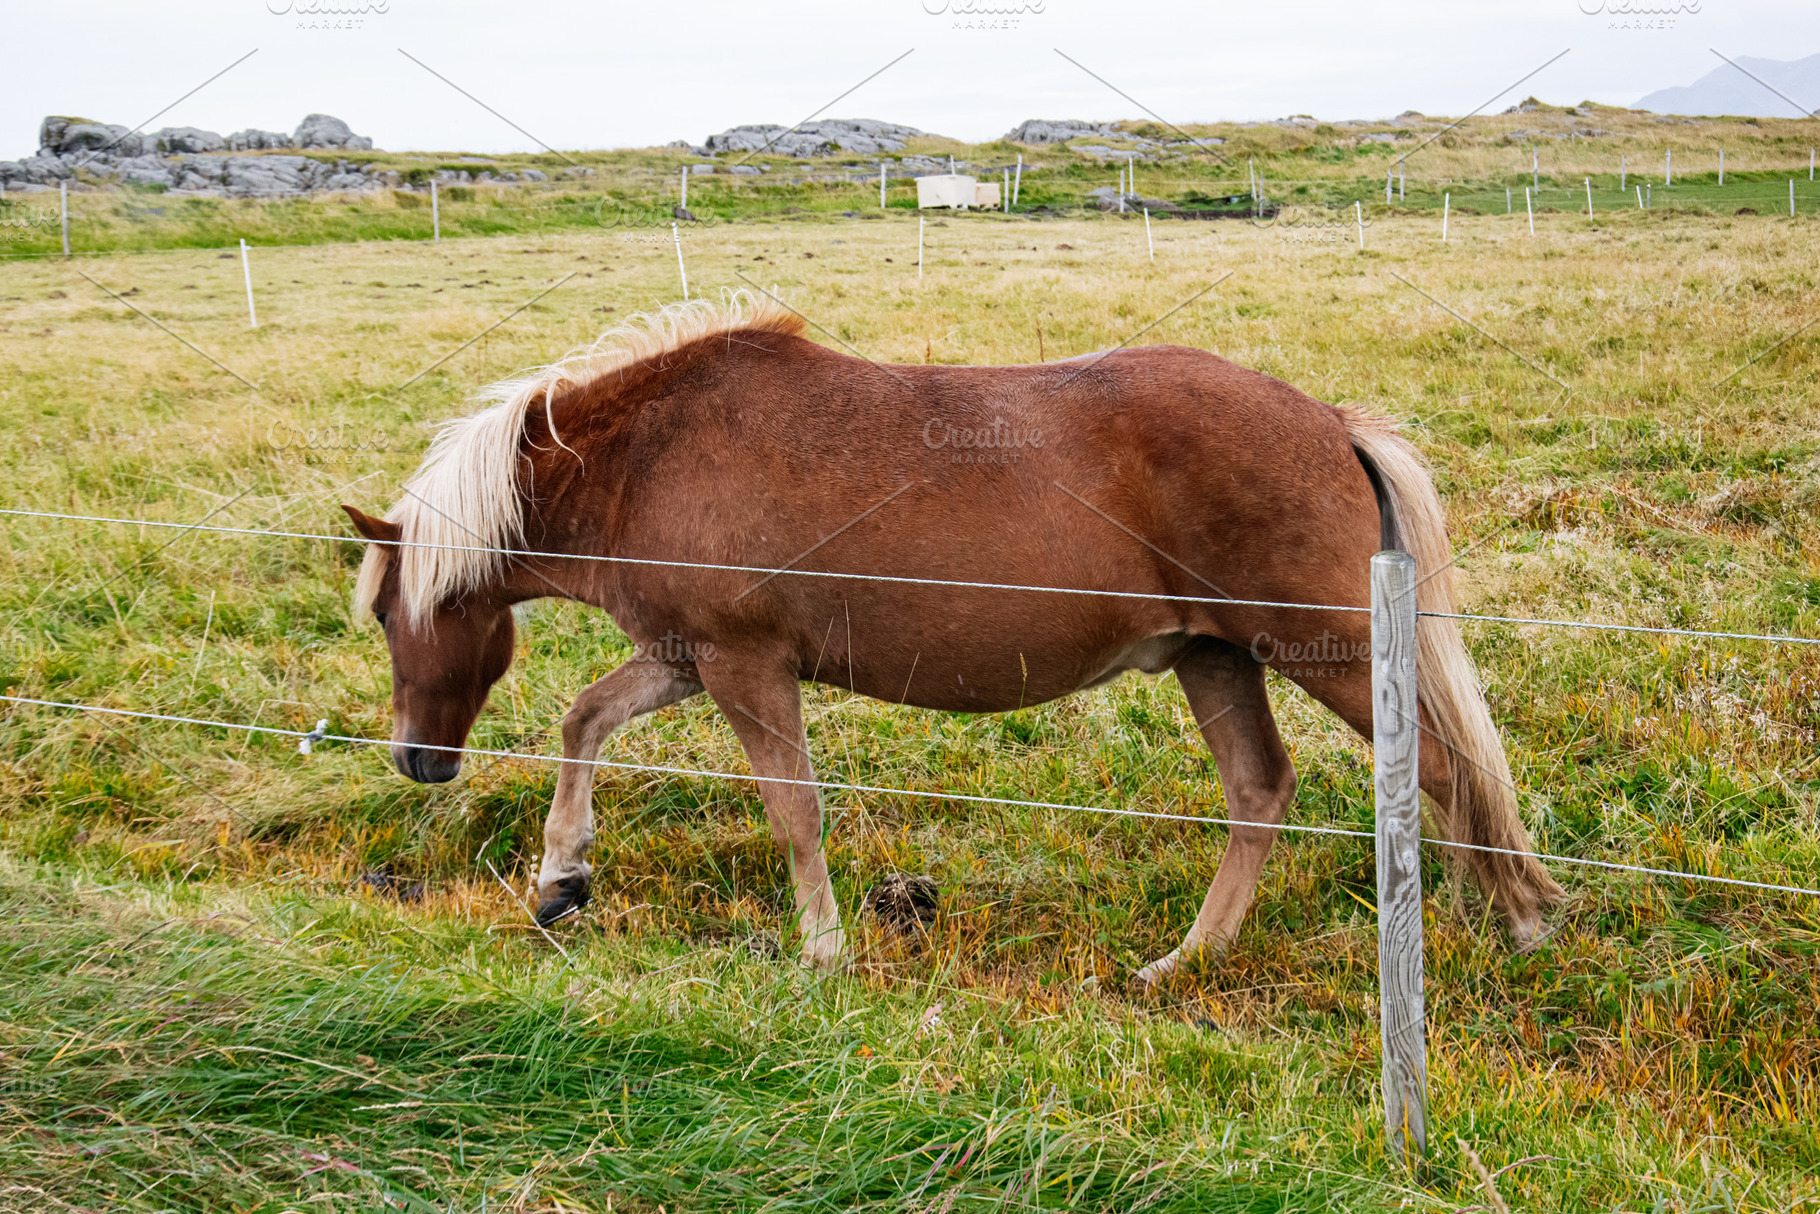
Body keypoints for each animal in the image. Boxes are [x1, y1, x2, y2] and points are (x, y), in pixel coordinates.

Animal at [344, 290, 1561, 979]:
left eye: (388, 610)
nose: (416, 759)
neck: (650, 454)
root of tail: (1327, 421)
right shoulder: (687, 660)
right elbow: (583, 717)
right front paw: (562, 875)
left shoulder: (744, 667)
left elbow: (793, 808)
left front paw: (823, 951)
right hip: (1213, 656)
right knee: (1260, 789)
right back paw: (1186, 960)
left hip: (1326, 651)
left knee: (1443, 771)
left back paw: (1525, 926)